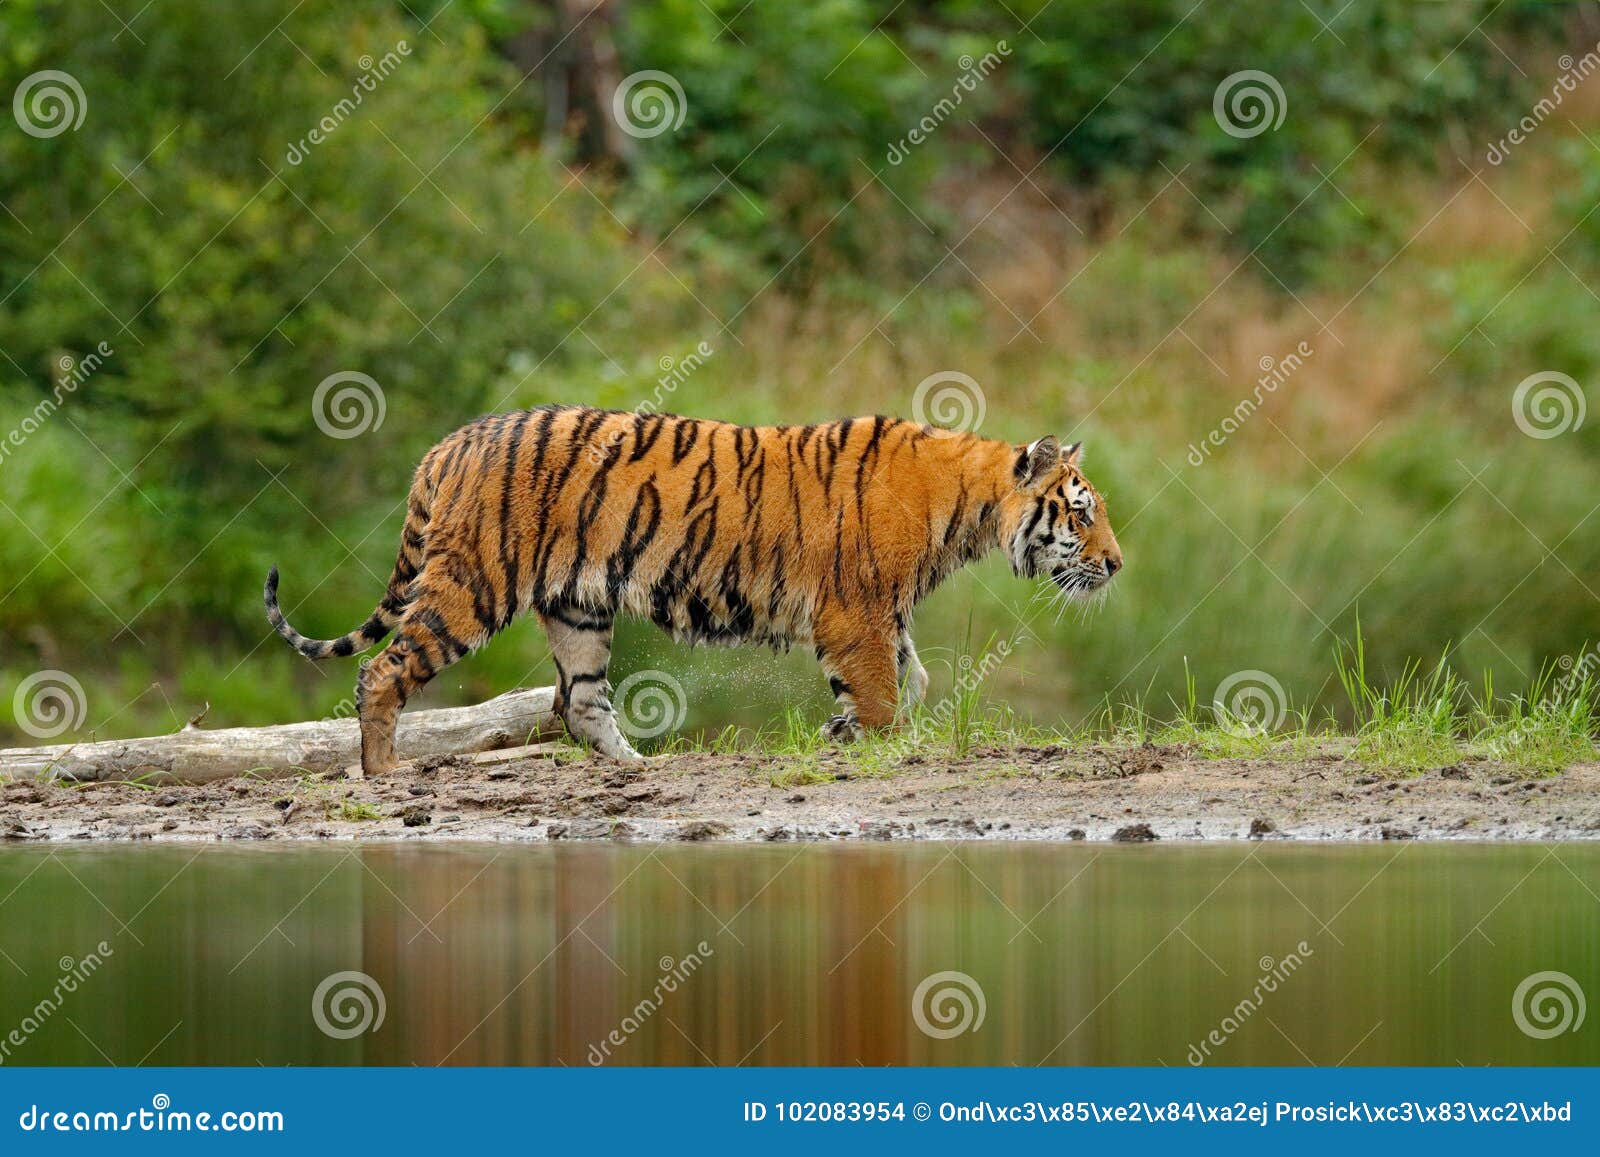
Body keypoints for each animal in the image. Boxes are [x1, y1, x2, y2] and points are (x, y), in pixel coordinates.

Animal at [262, 403, 1120, 774]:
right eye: (1081, 512)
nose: (1115, 565)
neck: (968, 505)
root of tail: (448, 442)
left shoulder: (882, 618)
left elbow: (901, 684)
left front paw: (845, 732)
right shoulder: (857, 613)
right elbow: (883, 696)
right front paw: (873, 742)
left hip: (578, 607)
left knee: (580, 701)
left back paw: (635, 766)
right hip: (473, 583)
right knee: (382, 669)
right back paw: (383, 772)